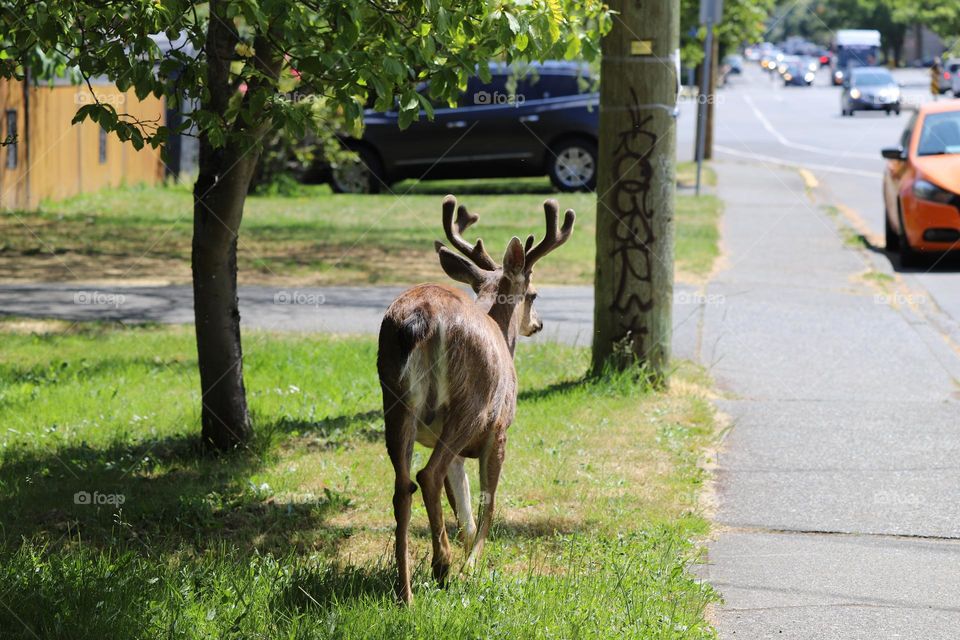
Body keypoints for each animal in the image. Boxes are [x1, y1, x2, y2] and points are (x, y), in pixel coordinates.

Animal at [376, 195, 572, 604]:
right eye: (534, 294)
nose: (538, 324)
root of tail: (422, 319)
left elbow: (463, 508)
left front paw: (469, 557)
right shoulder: (499, 430)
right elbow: (488, 502)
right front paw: (473, 566)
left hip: (396, 399)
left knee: (403, 485)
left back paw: (406, 592)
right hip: (471, 403)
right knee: (427, 474)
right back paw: (443, 565)